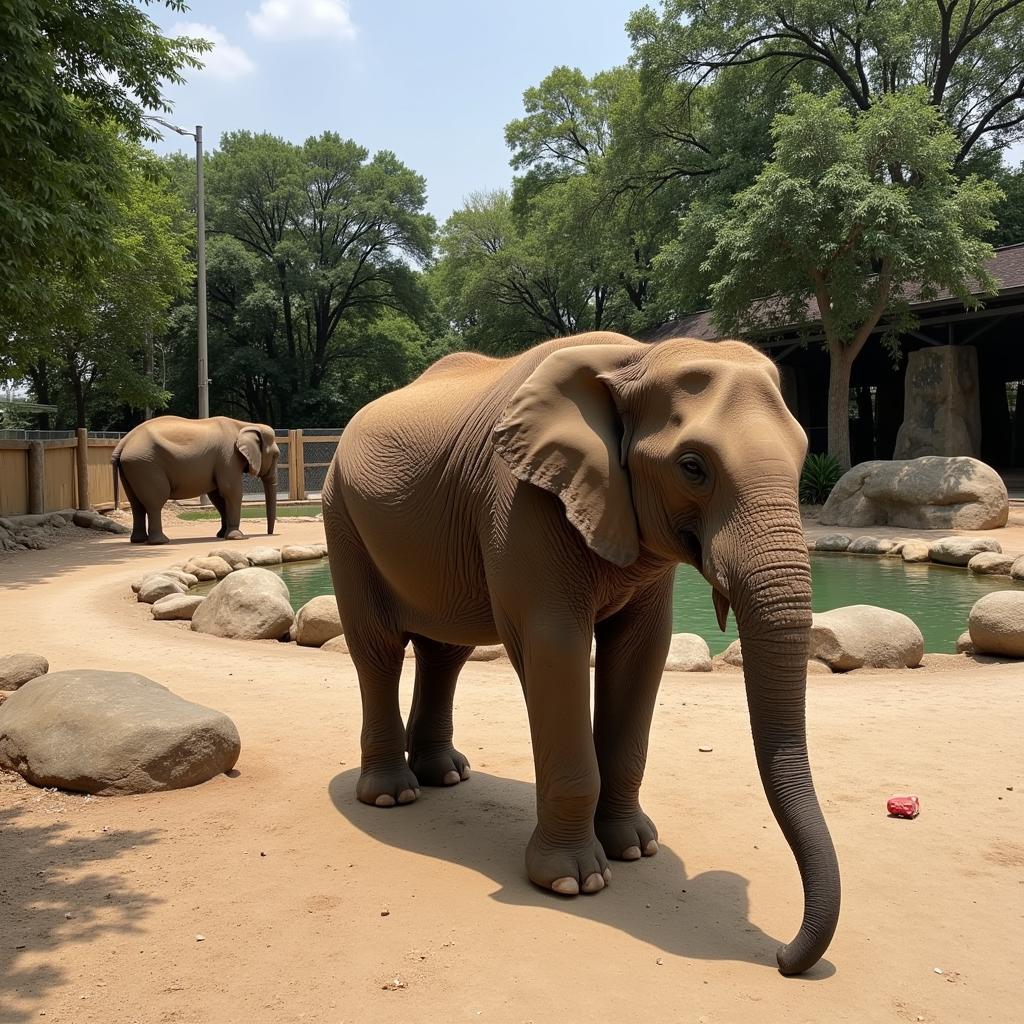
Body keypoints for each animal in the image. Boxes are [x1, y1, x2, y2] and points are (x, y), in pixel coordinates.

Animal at [111, 415, 280, 544]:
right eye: (276, 455)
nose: (270, 533)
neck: (245, 425)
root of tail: (123, 442)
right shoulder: (228, 457)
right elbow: (231, 492)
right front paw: (237, 537)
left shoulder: (223, 461)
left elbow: (218, 496)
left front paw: (221, 535)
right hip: (145, 465)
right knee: (155, 502)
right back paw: (160, 542)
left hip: (131, 467)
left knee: (136, 504)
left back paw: (138, 541)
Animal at [325, 329, 839, 974]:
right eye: (692, 467)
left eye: (803, 457)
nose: (784, 957)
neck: (636, 359)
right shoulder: (521, 502)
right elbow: (554, 646)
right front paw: (574, 883)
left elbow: (643, 650)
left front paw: (635, 849)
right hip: (342, 514)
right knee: (378, 647)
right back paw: (394, 795)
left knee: (446, 651)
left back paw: (446, 776)